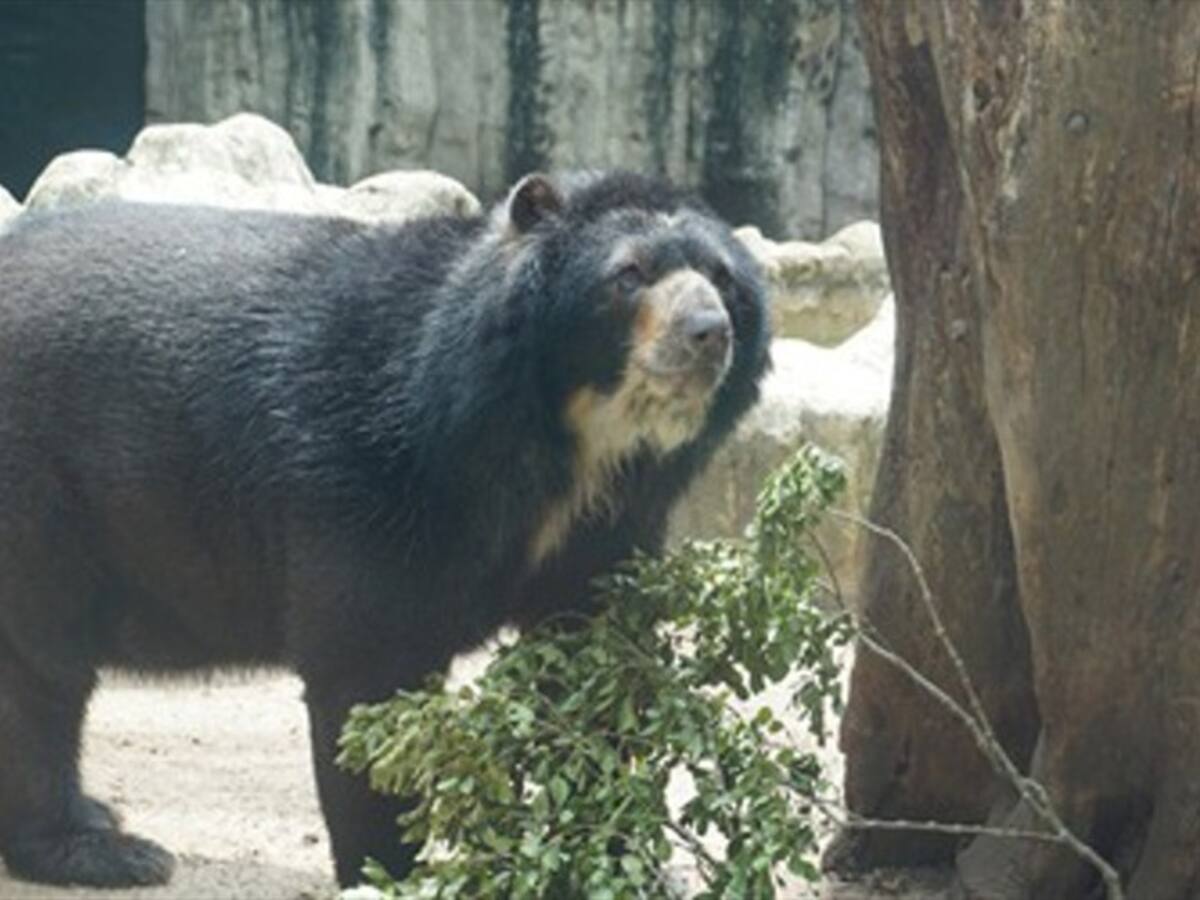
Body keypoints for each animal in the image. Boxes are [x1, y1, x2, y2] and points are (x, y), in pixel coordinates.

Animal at [0, 170, 770, 888]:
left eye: (723, 279)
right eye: (629, 273)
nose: (708, 332)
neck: (563, 446)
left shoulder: (607, 524)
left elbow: (593, 664)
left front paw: (609, 860)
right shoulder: (369, 478)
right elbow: (369, 672)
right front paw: (390, 870)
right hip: (39, 495)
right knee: (40, 672)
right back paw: (101, 848)